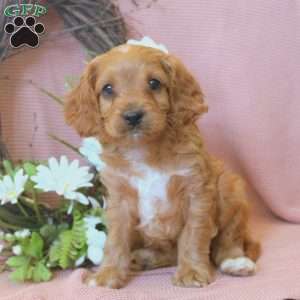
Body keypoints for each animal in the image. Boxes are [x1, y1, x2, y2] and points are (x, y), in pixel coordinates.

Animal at [65, 44, 260, 288]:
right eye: (107, 89)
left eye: (154, 83)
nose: (133, 116)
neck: (144, 149)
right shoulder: (119, 200)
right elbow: (115, 240)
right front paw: (106, 275)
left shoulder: (197, 192)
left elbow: (193, 235)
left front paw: (192, 272)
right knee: (168, 252)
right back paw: (143, 258)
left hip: (230, 188)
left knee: (228, 239)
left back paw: (235, 261)